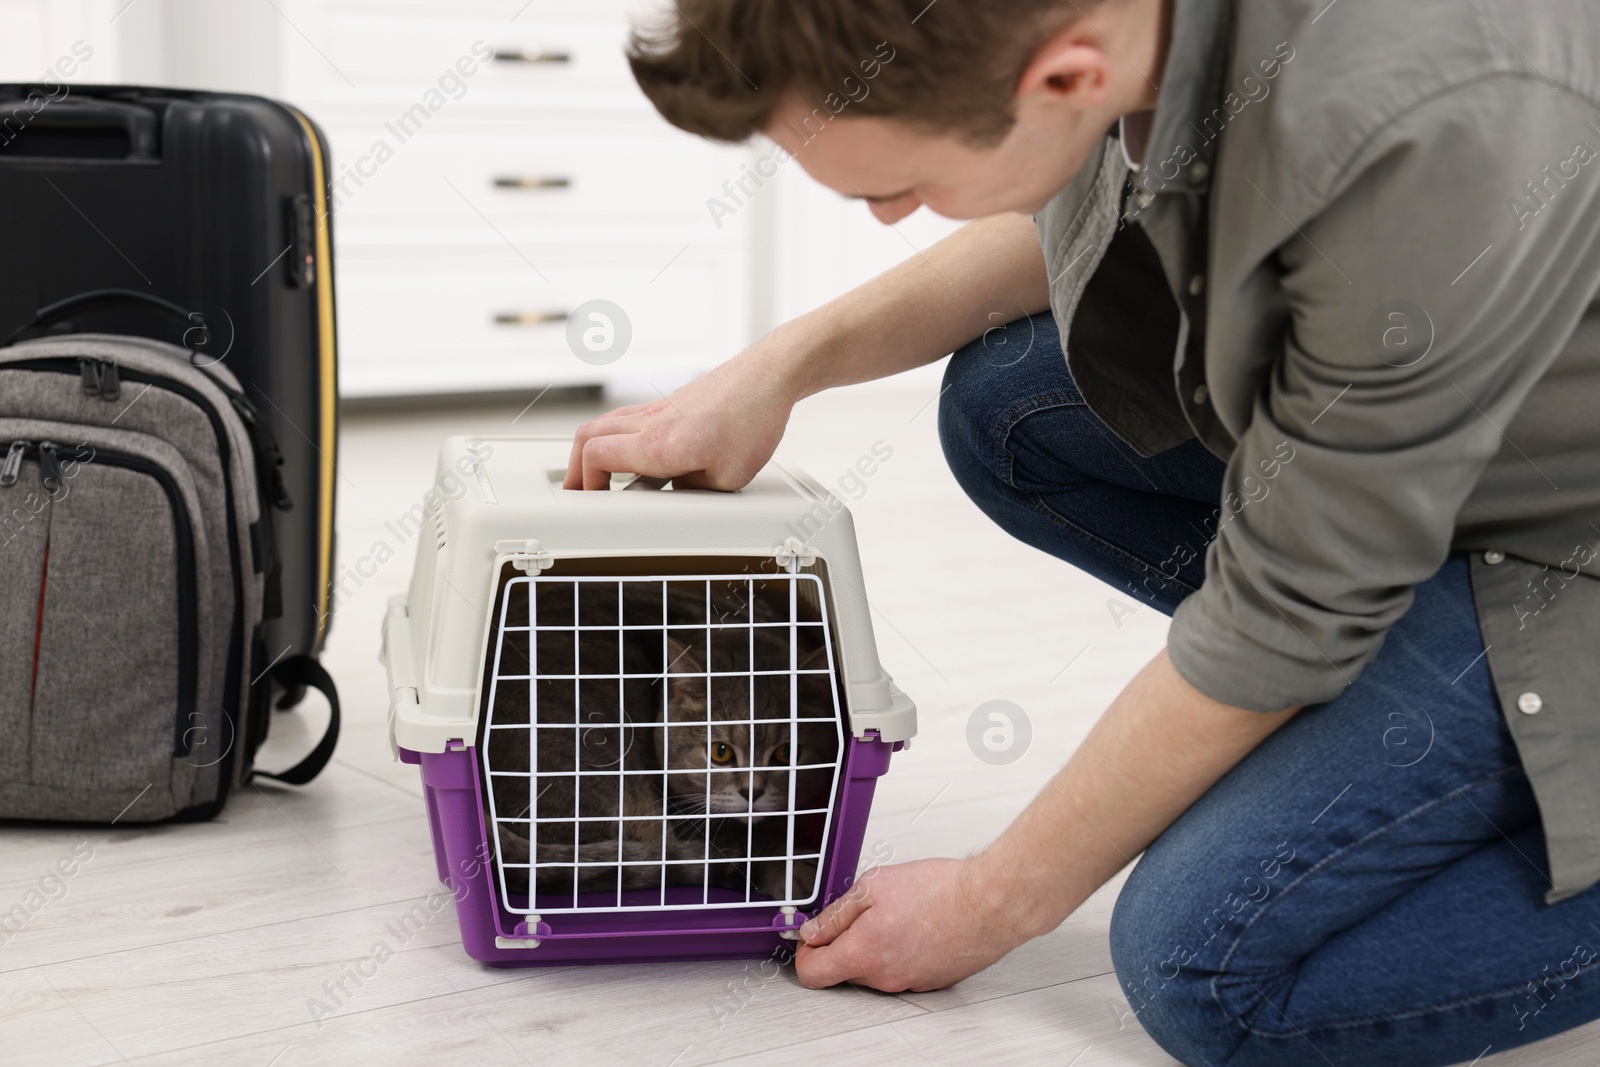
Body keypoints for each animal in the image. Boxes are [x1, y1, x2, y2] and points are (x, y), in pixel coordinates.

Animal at [483, 579, 838, 908]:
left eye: (786, 753)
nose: (752, 792)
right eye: (720, 753)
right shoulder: (687, 818)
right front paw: (793, 867)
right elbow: (746, 842)